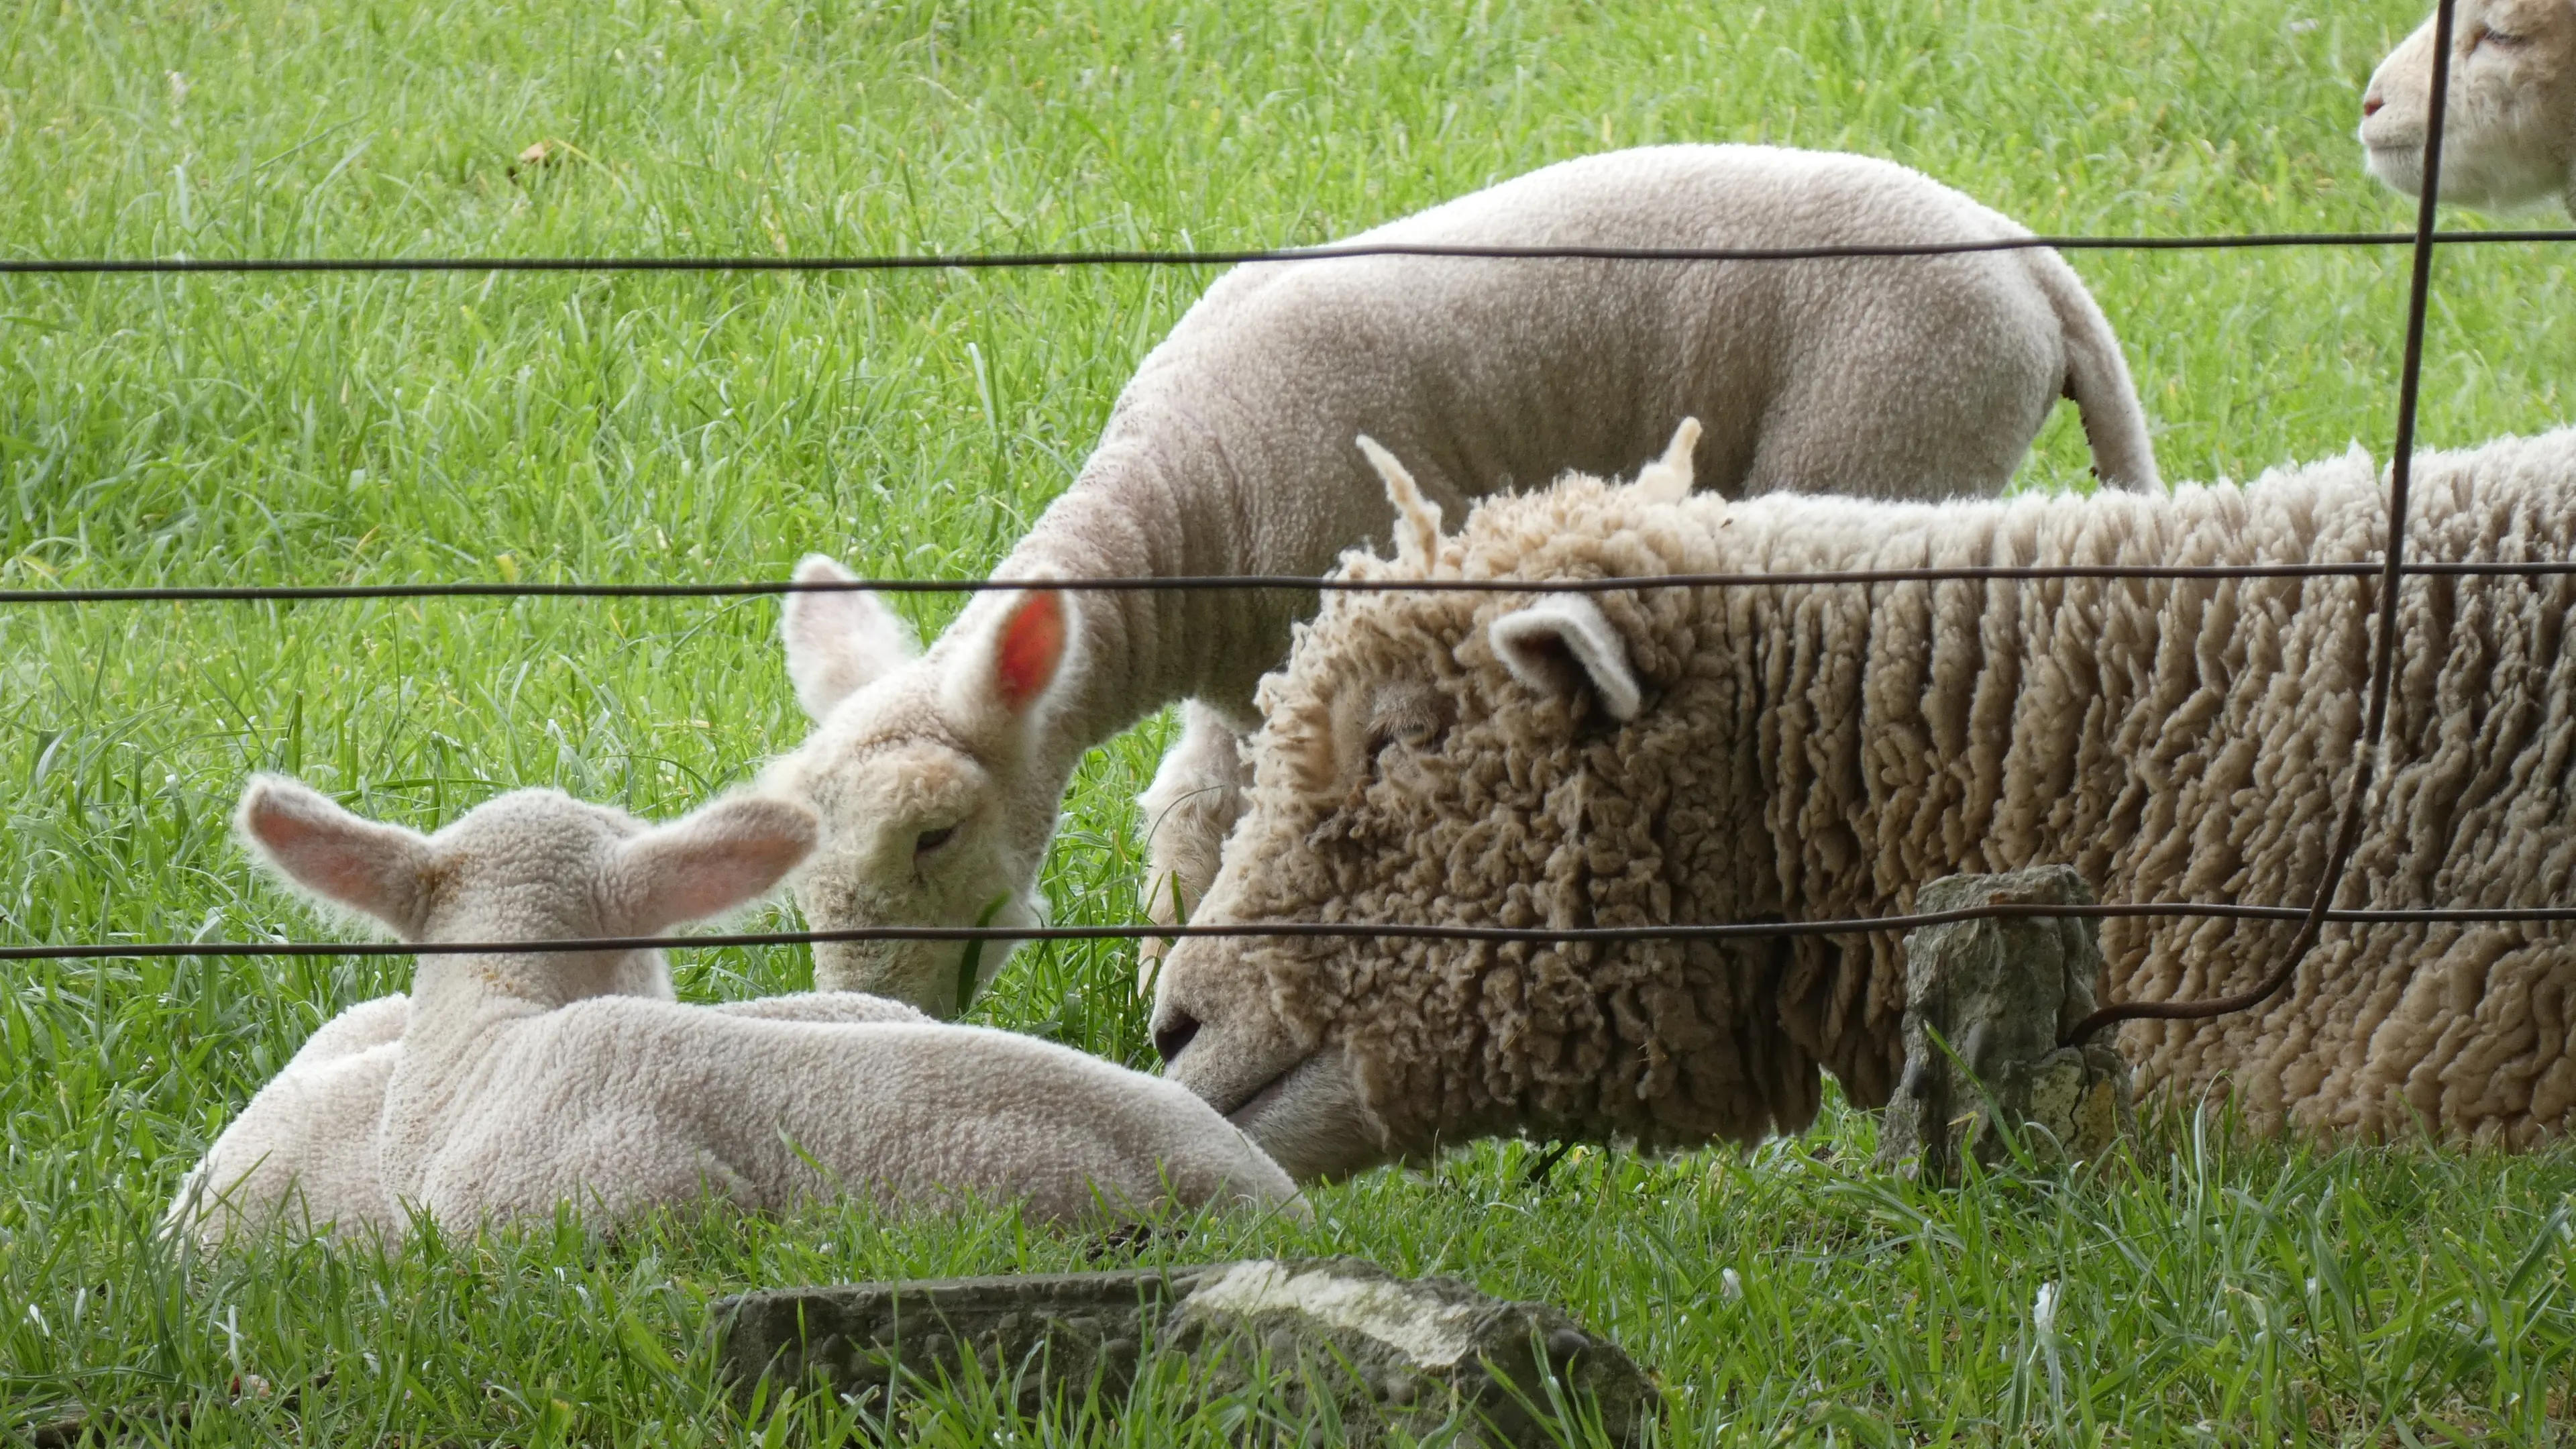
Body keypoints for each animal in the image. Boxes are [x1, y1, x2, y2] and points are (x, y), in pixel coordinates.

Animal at [771, 142, 2164, 1016]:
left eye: (934, 835)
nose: (869, 1020)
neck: (1177, 516)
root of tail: (2031, 263)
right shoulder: (1241, 672)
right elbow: (1194, 814)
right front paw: (1163, 978)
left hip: (1892, 431)